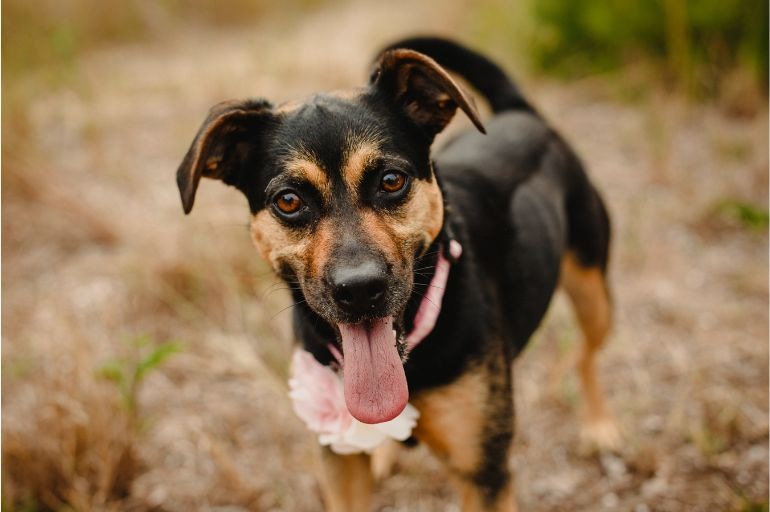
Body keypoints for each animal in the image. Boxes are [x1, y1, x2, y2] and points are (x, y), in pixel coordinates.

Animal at [176, 37, 616, 512]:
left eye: (391, 180)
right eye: (289, 201)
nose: (359, 289)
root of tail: (519, 112)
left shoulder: (483, 472)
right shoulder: (340, 463)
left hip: (593, 291)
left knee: (587, 355)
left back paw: (599, 425)